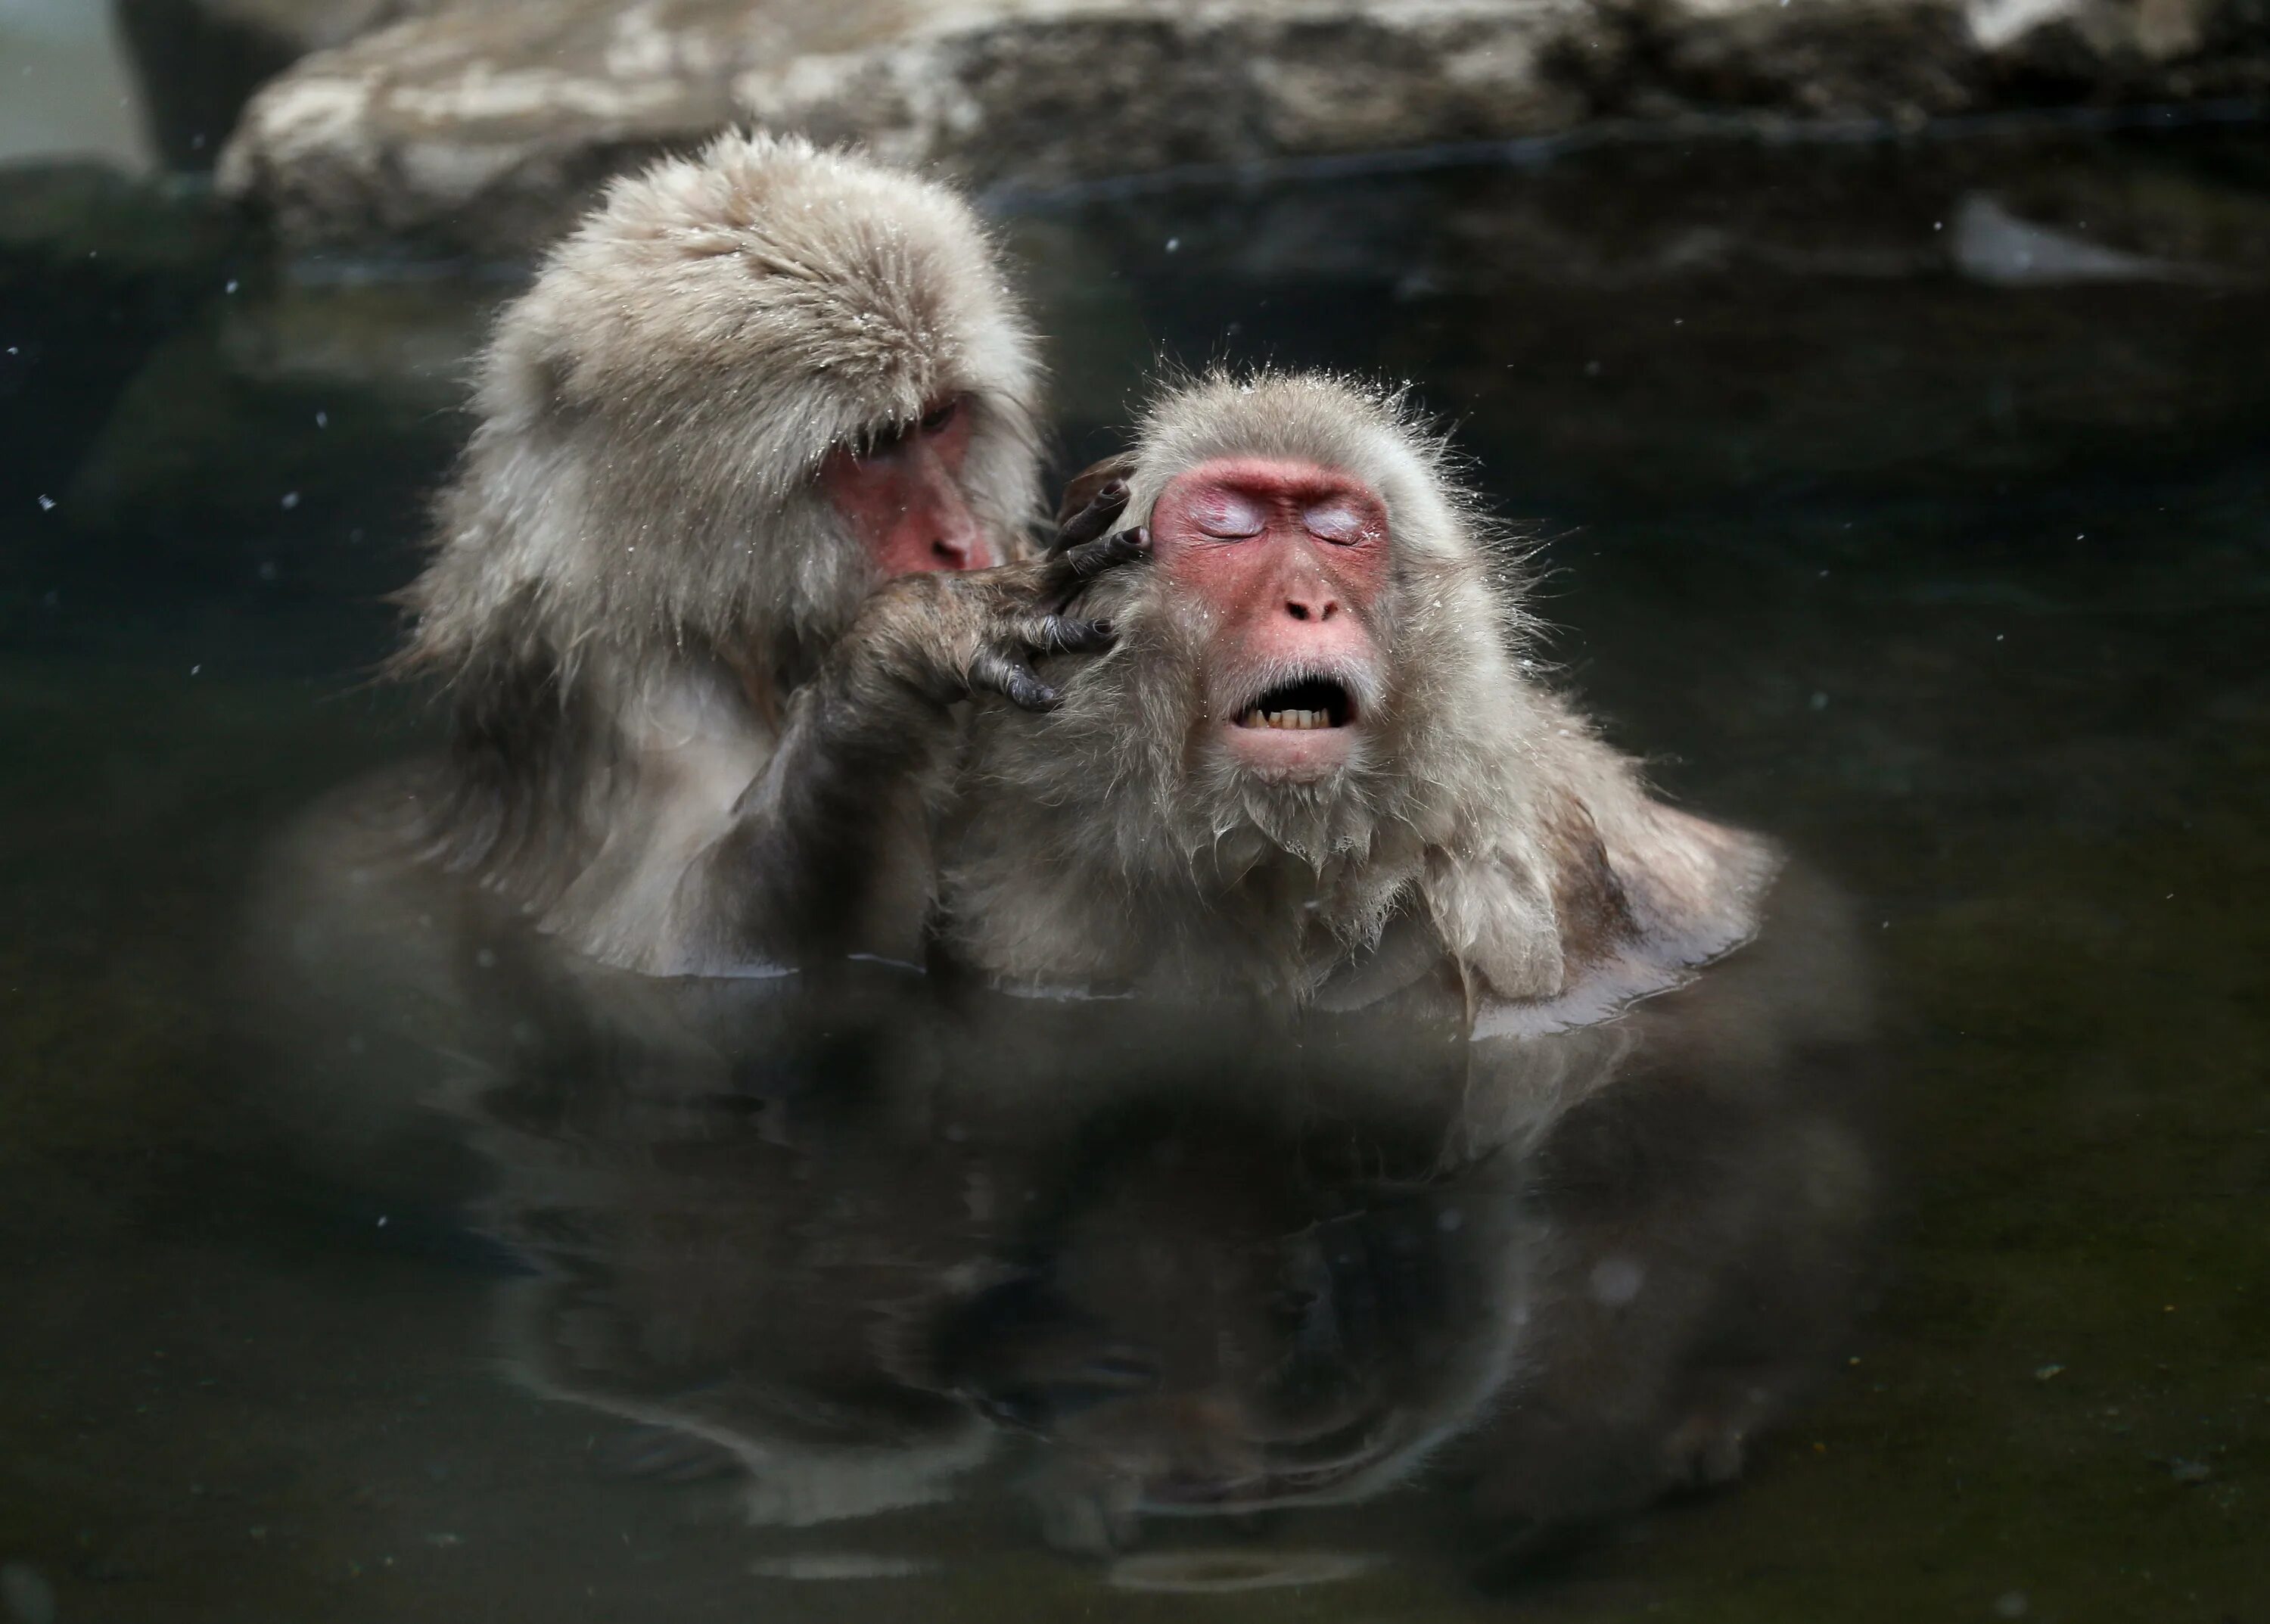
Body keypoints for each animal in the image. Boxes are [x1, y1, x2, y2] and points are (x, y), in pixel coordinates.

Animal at [386, 133, 1058, 972]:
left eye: (939, 420)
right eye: (873, 447)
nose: (961, 541)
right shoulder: (636, 705)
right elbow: (695, 944)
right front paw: (912, 642)